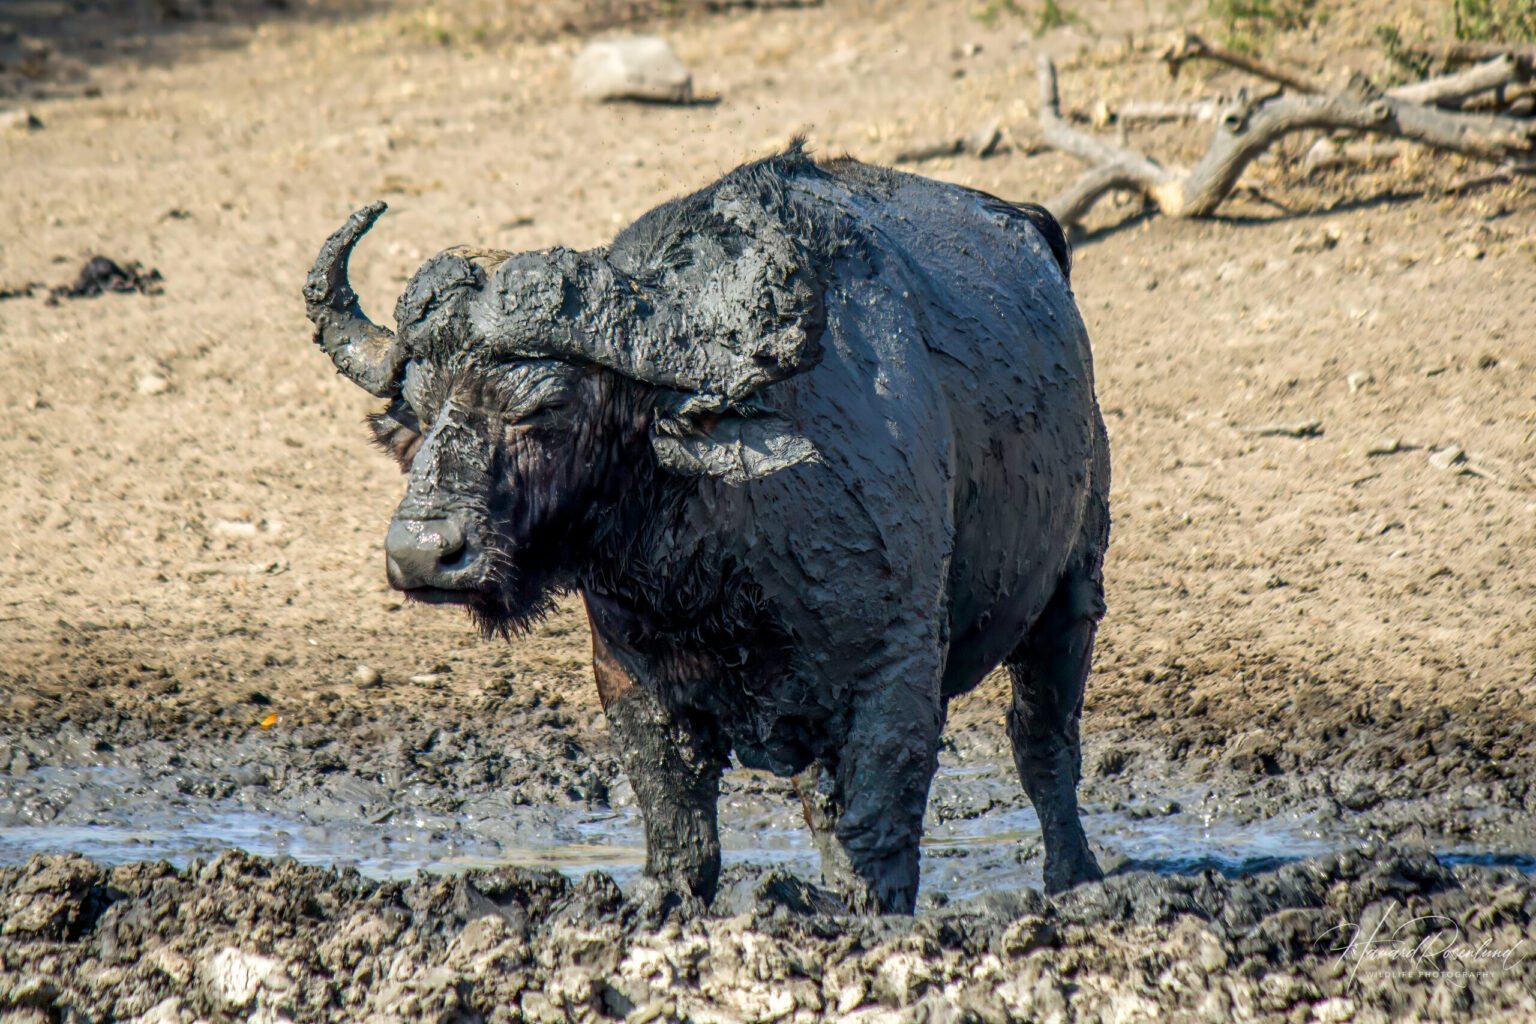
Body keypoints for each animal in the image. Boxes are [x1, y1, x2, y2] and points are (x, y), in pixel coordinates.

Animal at [303, 144, 1109, 914]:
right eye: (419, 407)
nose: (422, 554)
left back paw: (1077, 880)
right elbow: (679, 820)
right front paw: (665, 900)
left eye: (545, 404)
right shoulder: (630, 676)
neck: (715, 565)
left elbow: (880, 825)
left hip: (1073, 587)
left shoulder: (899, 668)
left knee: (1044, 743)